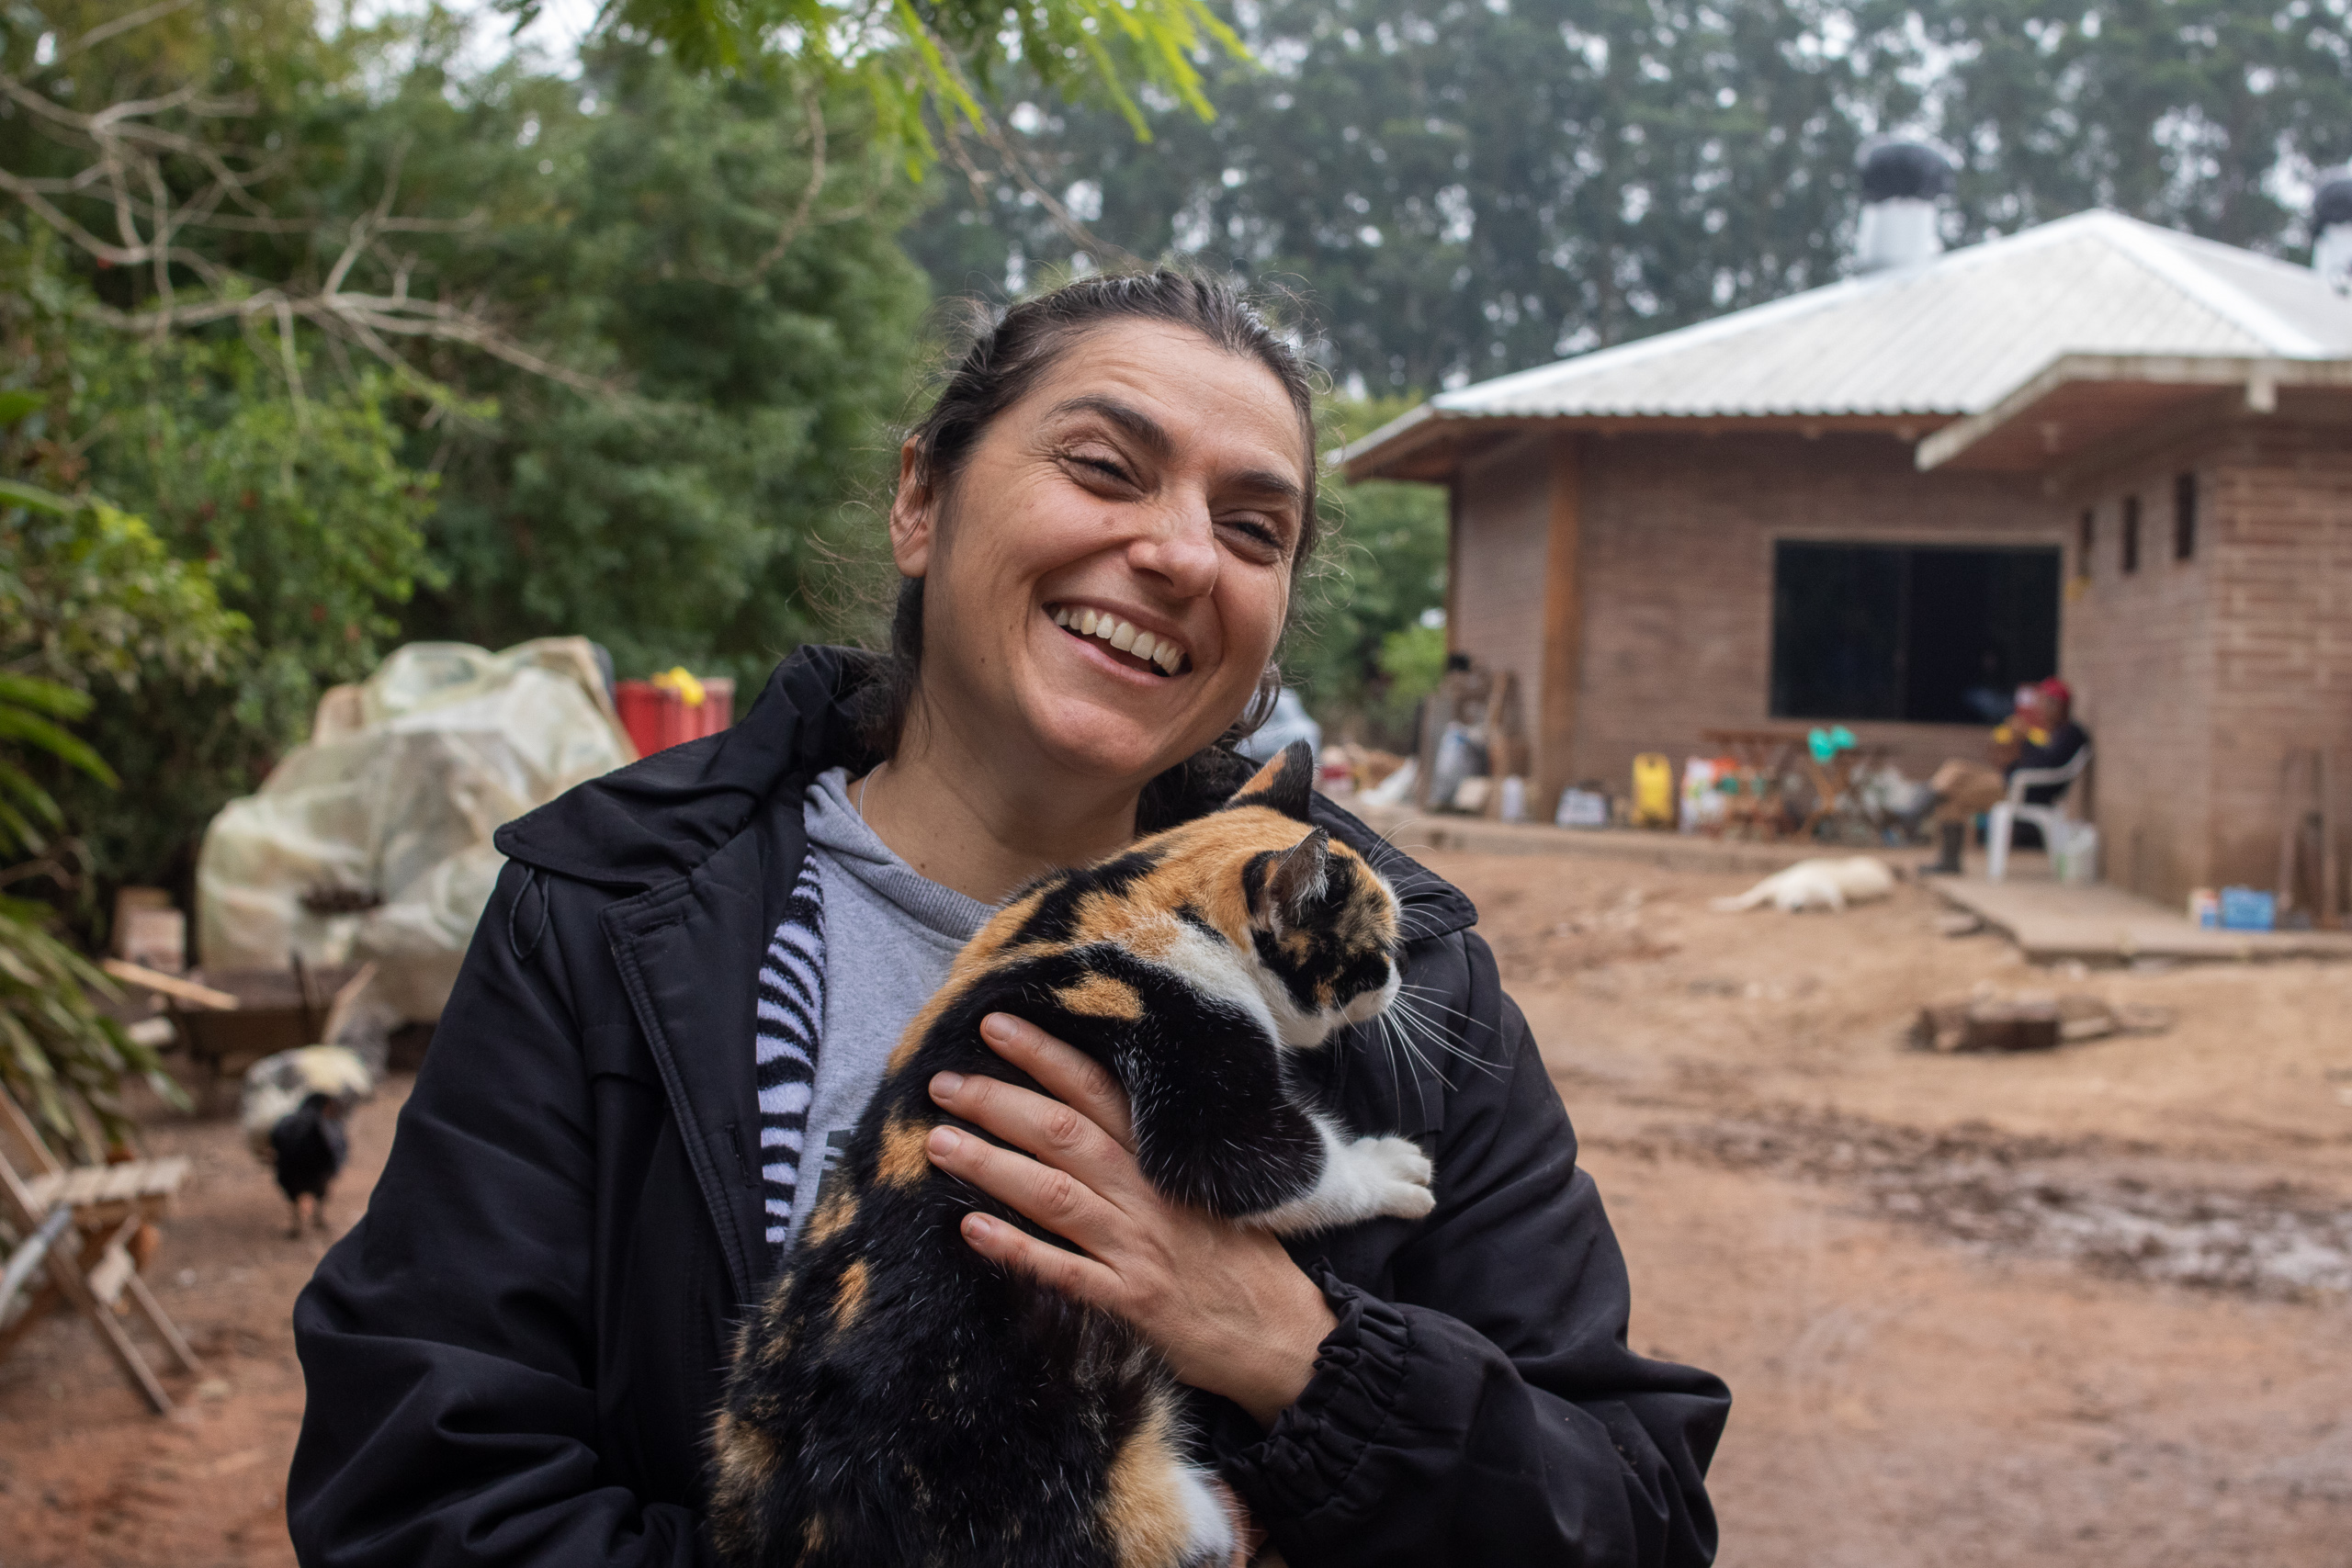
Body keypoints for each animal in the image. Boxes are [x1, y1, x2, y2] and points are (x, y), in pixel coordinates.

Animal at [700, 738, 1430, 1568]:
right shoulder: (1197, 1069)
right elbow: (1281, 1169)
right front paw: (1398, 1168)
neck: (1153, 893)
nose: (1400, 976)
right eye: (1372, 953)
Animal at [1721, 860, 1900, 921]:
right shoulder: (1772, 884)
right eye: (1806, 899)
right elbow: (1746, 899)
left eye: (1810, 905)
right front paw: (1723, 904)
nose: (1797, 908)